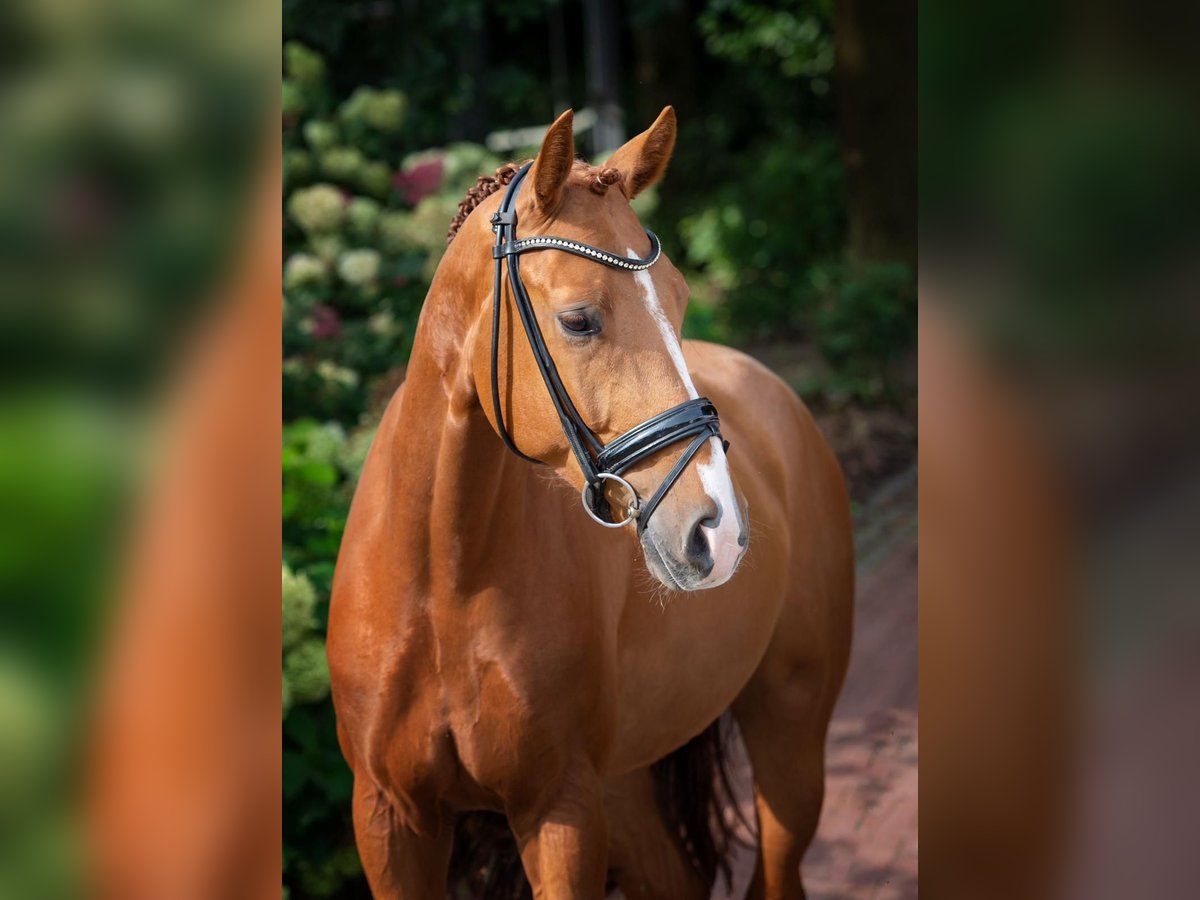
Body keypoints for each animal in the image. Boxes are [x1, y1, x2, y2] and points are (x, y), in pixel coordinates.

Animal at [326, 107, 854, 900]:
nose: (719, 532)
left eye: (680, 298)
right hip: (626, 786)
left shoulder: (559, 811)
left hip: (788, 736)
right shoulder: (389, 818)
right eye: (578, 320)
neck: (440, 580)